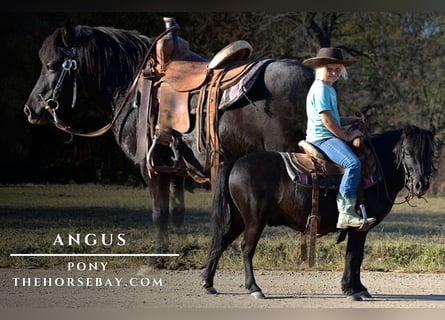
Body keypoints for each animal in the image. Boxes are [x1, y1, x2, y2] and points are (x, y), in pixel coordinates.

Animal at [21, 23, 312, 252]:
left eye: (51, 66)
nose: (30, 110)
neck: (132, 86)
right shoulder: (174, 167)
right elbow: (177, 211)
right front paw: (180, 250)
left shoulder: (149, 167)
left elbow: (159, 213)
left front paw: (159, 255)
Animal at [201, 125, 434, 300]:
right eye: (408, 153)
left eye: (429, 153)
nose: (421, 185)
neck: (377, 170)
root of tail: (236, 162)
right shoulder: (360, 228)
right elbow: (354, 256)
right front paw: (352, 290)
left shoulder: (359, 229)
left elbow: (355, 256)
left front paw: (357, 288)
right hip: (254, 221)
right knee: (246, 248)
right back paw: (254, 288)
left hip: (239, 219)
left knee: (220, 242)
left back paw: (208, 282)